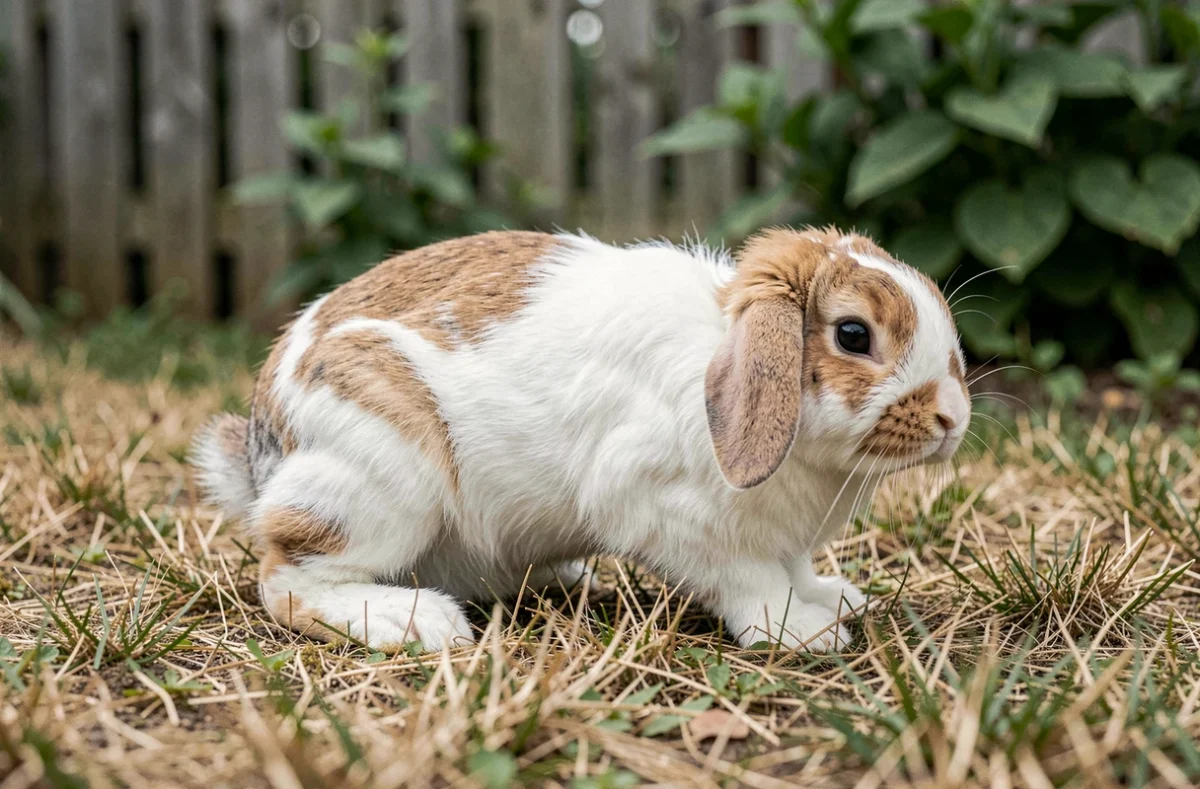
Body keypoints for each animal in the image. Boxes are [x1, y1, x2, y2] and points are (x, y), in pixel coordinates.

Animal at [192, 227, 970, 653]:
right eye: (853, 335)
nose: (954, 418)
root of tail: (263, 447)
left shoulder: (784, 538)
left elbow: (798, 566)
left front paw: (837, 600)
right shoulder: (671, 517)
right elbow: (752, 582)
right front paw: (804, 632)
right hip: (377, 479)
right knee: (287, 578)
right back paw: (414, 621)